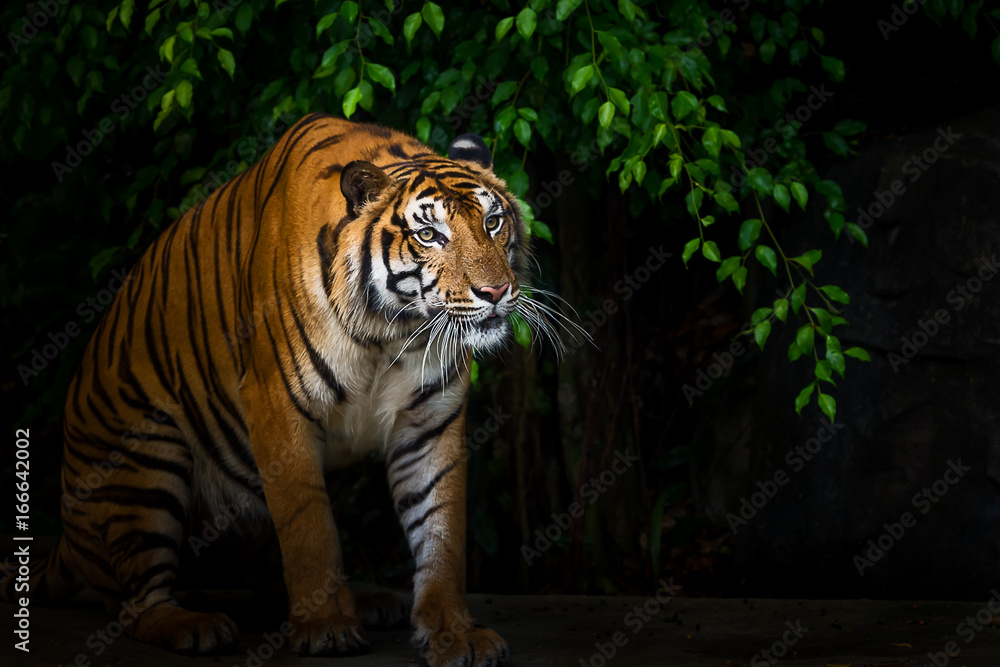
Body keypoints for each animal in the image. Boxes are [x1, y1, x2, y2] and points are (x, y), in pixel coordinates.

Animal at [1, 113, 567, 666]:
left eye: (492, 222)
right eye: (429, 234)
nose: (495, 291)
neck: (390, 331)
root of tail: (66, 540)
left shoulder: (431, 420)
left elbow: (441, 530)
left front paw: (454, 634)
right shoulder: (278, 407)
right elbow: (309, 527)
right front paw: (327, 630)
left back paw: (368, 601)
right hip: (147, 458)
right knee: (134, 602)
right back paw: (195, 627)